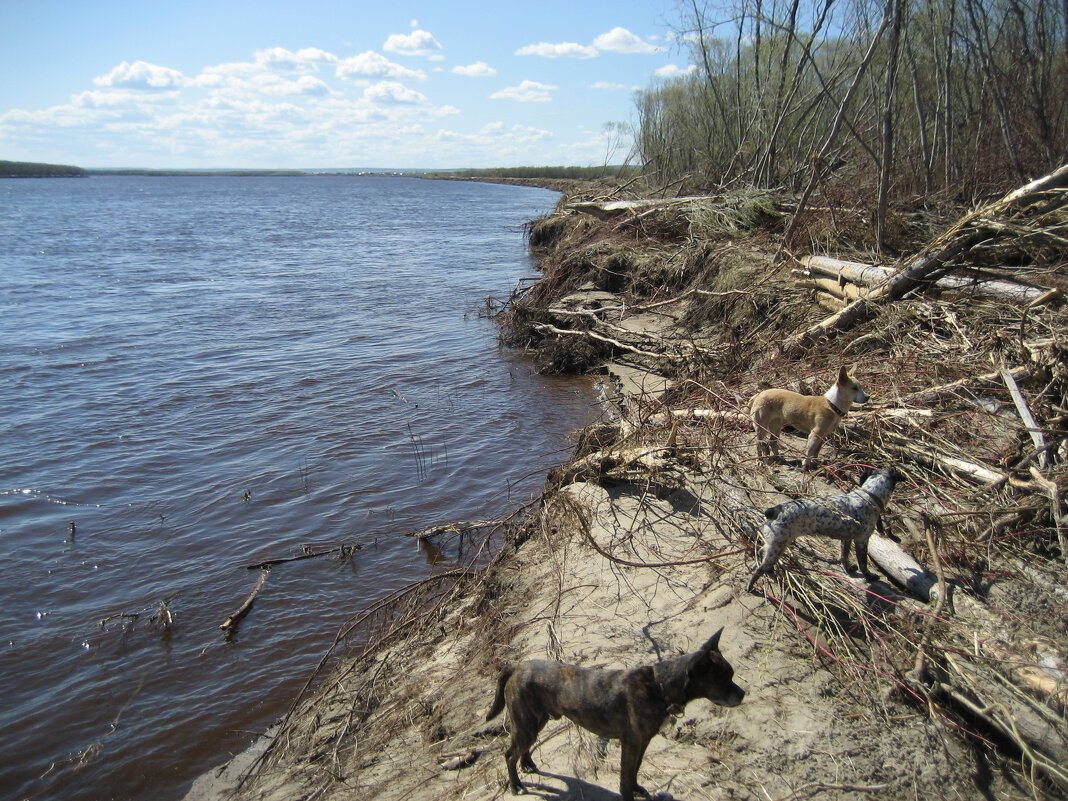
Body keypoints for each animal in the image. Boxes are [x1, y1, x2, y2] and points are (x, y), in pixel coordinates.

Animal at [747, 467, 905, 593]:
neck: (869, 495)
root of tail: (775, 510)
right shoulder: (862, 540)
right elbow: (863, 563)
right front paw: (870, 577)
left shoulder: (846, 539)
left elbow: (844, 556)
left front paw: (848, 569)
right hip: (778, 546)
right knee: (759, 570)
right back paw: (751, 587)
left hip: (773, 544)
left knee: (761, 552)